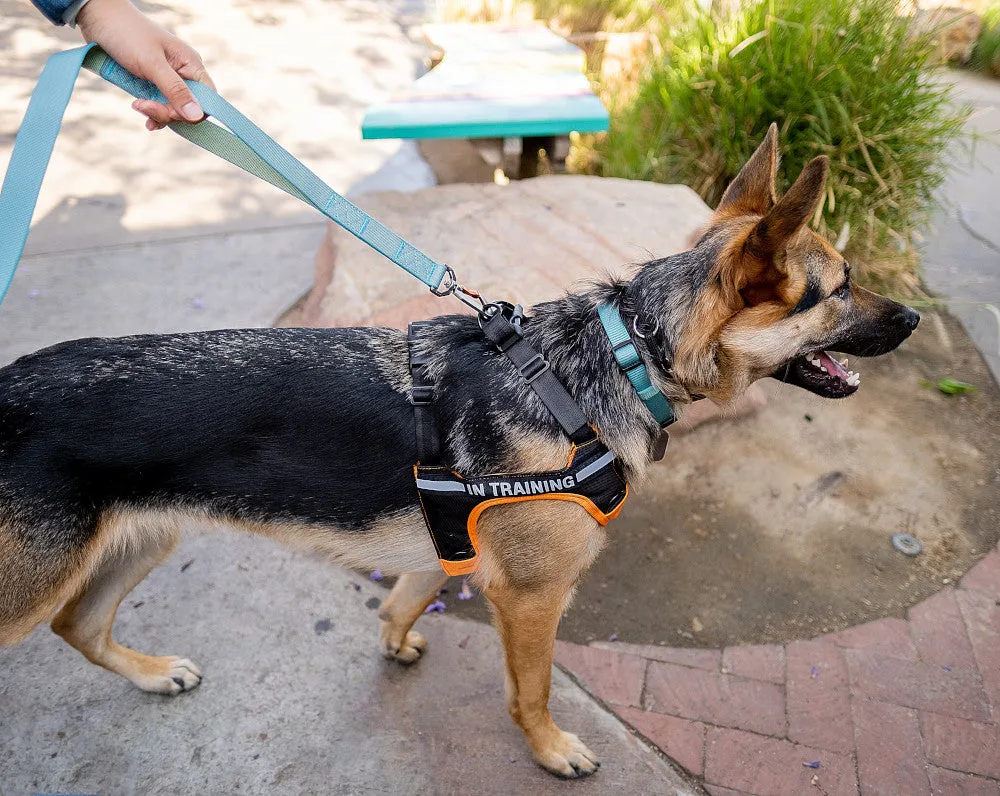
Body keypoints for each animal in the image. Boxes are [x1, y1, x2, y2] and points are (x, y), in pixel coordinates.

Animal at [0, 126, 916, 776]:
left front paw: (396, 640)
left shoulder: (455, 544)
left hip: (141, 538)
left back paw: (153, 672)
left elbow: (405, 597)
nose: (911, 317)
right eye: (839, 289)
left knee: (80, 625)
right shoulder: (534, 597)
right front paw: (550, 750)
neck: (622, 354)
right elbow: (532, 689)